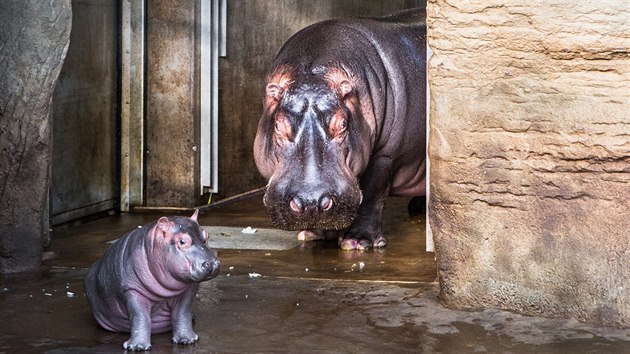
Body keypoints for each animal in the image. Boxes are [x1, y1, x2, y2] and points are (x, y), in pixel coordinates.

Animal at [84, 210, 221, 352]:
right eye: (182, 241)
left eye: (207, 235)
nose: (213, 263)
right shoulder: (132, 290)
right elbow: (140, 316)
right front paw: (137, 347)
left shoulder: (190, 288)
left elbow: (182, 312)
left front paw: (187, 340)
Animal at [254, 9, 428, 252]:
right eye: (278, 125)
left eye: (343, 124)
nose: (311, 202)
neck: (312, 72)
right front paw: (315, 233)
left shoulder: (386, 155)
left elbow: (373, 195)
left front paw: (358, 241)